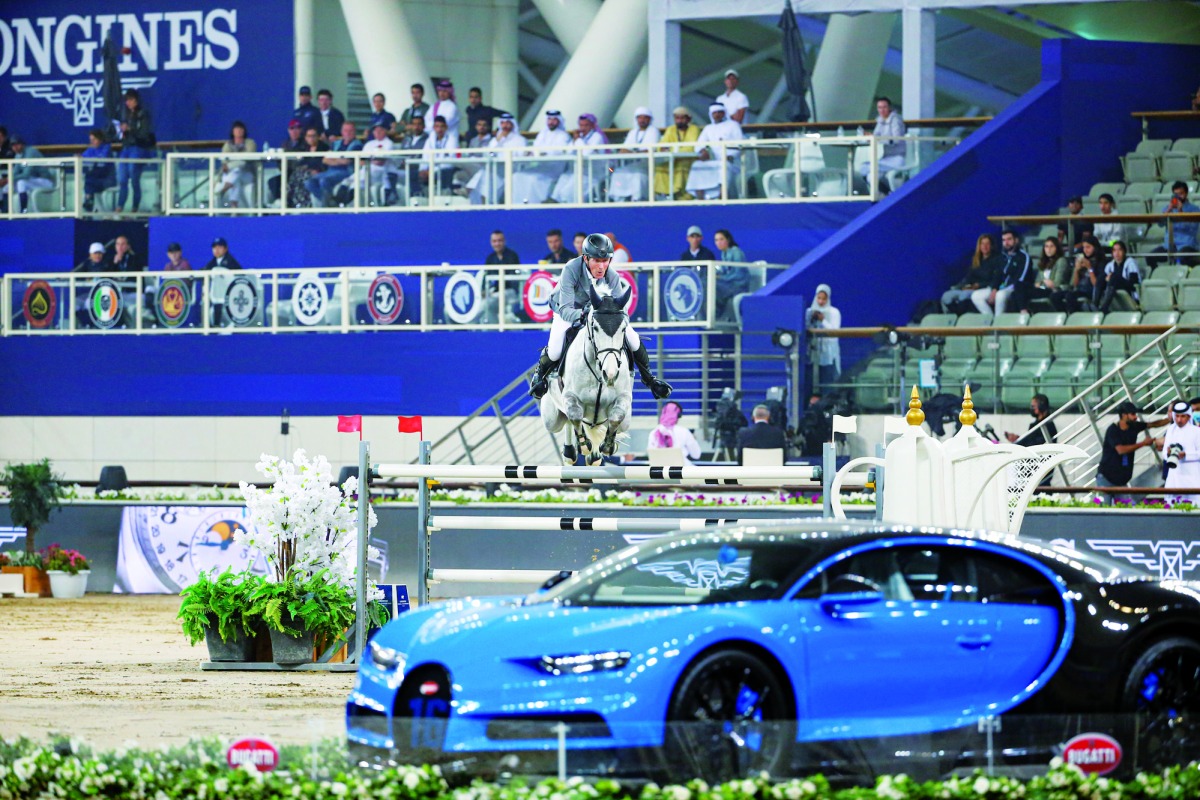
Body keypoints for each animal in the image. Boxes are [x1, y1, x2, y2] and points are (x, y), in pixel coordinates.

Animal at [542, 284, 638, 465]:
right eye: (595, 328)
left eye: (623, 329)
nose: (610, 374)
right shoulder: (570, 396)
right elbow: (574, 414)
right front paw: (584, 445)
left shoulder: (623, 397)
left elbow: (616, 416)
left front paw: (607, 446)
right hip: (551, 418)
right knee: (567, 420)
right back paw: (571, 452)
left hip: (626, 422)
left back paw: (594, 455)